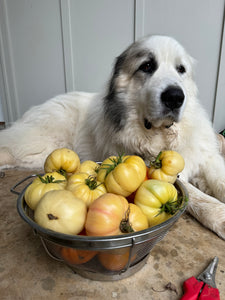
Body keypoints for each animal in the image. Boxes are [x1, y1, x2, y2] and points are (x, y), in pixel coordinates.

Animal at [0, 35, 225, 239]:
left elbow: (219, 180)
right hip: (41, 141)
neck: (162, 135)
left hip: (39, 154)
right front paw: (220, 215)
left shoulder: (208, 159)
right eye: (147, 66)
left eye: (181, 69)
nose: (175, 97)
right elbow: (198, 196)